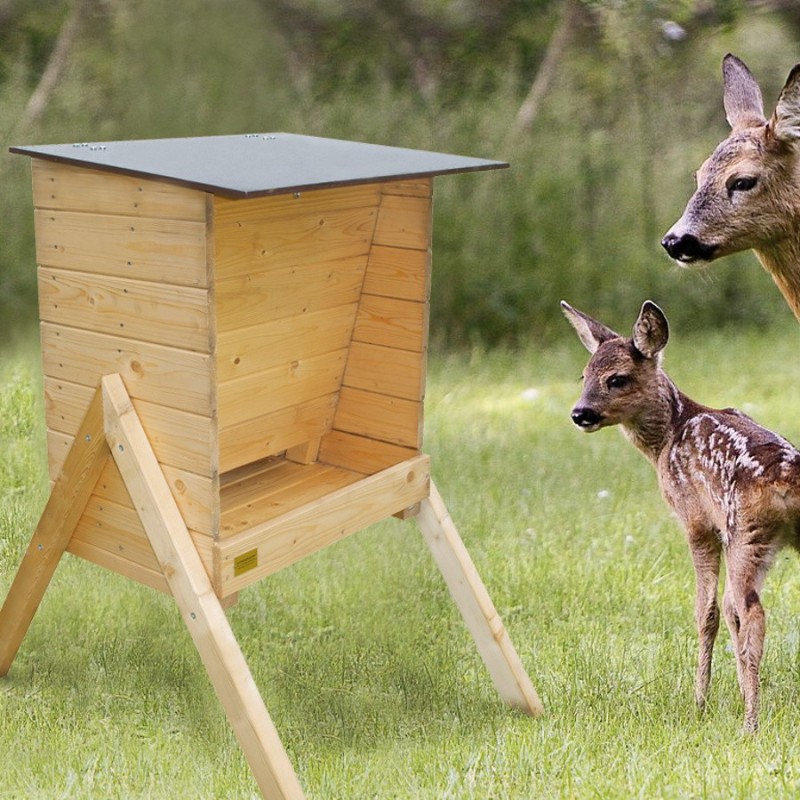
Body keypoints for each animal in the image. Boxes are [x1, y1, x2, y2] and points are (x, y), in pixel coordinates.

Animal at [560, 298, 800, 732]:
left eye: (617, 379)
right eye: (583, 375)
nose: (580, 413)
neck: (668, 435)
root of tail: (788, 476)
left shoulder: (696, 521)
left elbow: (708, 612)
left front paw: (700, 703)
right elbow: (725, 612)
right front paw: (733, 693)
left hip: (746, 532)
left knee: (752, 612)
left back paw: (751, 724)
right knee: (745, 609)